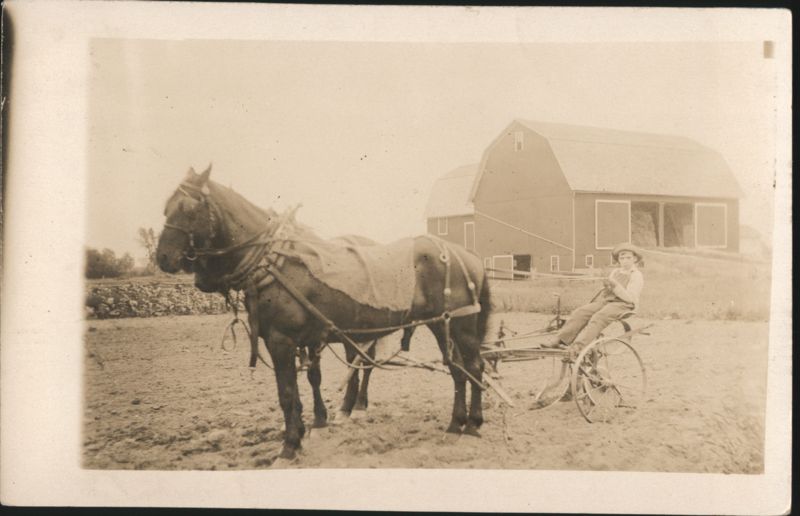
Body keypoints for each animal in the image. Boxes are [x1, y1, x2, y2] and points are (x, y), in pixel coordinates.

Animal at [156, 165, 491, 460]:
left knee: (473, 368)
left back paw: (472, 426)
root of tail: (466, 254)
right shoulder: (297, 340)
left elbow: (287, 393)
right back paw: (455, 423)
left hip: (460, 324)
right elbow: (301, 387)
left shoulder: (281, 340)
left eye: (188, 208)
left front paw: (290, 446)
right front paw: (307, 429)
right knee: (456, 369)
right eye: (166, 208)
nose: (162, 257)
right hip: (441, 325)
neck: (276, 262)